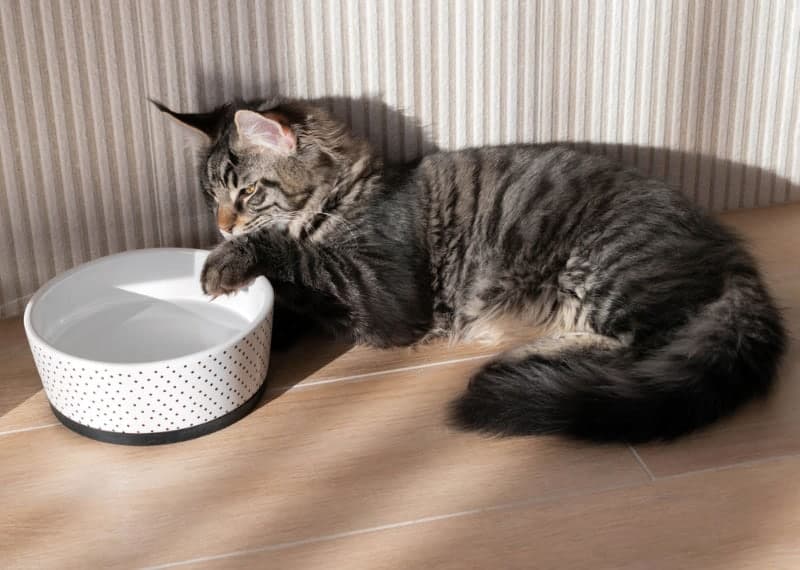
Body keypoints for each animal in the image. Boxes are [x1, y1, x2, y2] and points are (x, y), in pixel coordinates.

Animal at [153, 97, 784, 442]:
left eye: (248, 193)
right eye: (212, 197)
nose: (222, 228)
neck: (346, 197)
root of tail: (731, 253)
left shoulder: (381, 294)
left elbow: (297, 261)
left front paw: (229, 263)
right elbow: (292, 295)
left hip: (605, 266)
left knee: (649, 345)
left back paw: (527, 357)